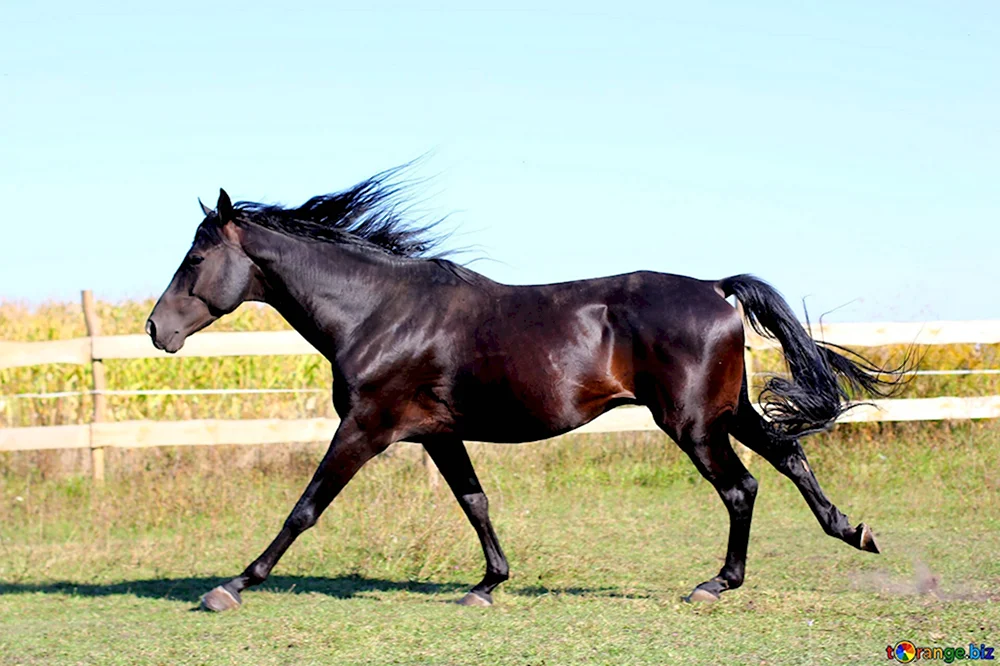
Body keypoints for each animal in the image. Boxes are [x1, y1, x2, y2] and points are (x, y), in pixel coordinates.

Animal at [148, 165, 908, 608]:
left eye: (196, 258)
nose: (157, 329)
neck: (379, 312)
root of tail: (716, 288)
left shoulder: (366, 428)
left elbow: (304, 508)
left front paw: (231, 586)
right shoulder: (437, 434)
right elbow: (475, 503)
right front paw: (488, 586)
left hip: (692, 423)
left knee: (742, 486)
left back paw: (716, 584)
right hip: (726, 409)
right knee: (789, 454)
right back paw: (855, 532)